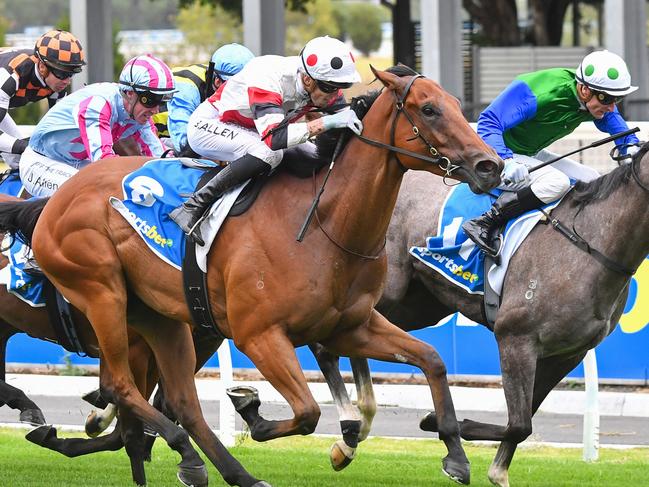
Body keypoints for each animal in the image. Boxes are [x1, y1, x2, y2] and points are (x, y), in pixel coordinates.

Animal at [0, 66, 502, 486]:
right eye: (429, 109)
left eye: (455, 103)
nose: (489, 165)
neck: (323, 224)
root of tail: (54, 201)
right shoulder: (258, 334)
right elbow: (306, 412)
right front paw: (254, 411)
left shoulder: (350, 326)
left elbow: (432, 361)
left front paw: (456, 456)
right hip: (103, 294)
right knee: (122, 386)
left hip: (161, 317)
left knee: (178, 401)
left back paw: (223, 470)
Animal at [312, 143, 648, 486]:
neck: (591, 241)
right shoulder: (515, 337)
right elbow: (520, 423)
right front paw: (440, 425)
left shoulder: (566, 354)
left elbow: (523, 421)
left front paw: (494, 468)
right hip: (385, 292)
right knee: (329, 345)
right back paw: (352, 426)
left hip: (416, 305)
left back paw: (353, 429)